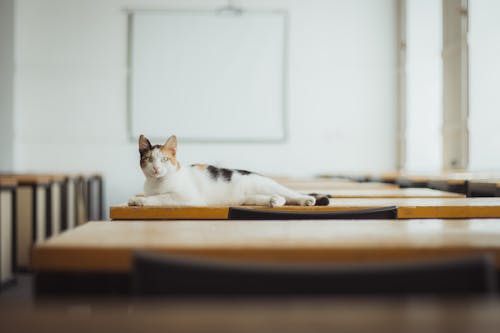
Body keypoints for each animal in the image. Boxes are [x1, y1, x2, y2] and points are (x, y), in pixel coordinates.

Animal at [127, 134, 330, 206]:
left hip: (266, 185)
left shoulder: (185, 197)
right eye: (149, 159)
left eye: (165, 159)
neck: (157, 182)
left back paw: (306, 200)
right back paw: (274, 202)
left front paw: (140, 201)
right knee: (281, 198)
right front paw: (138, 198)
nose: (156, 168)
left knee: (292, 194)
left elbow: (160, 198)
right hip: (250, 197)